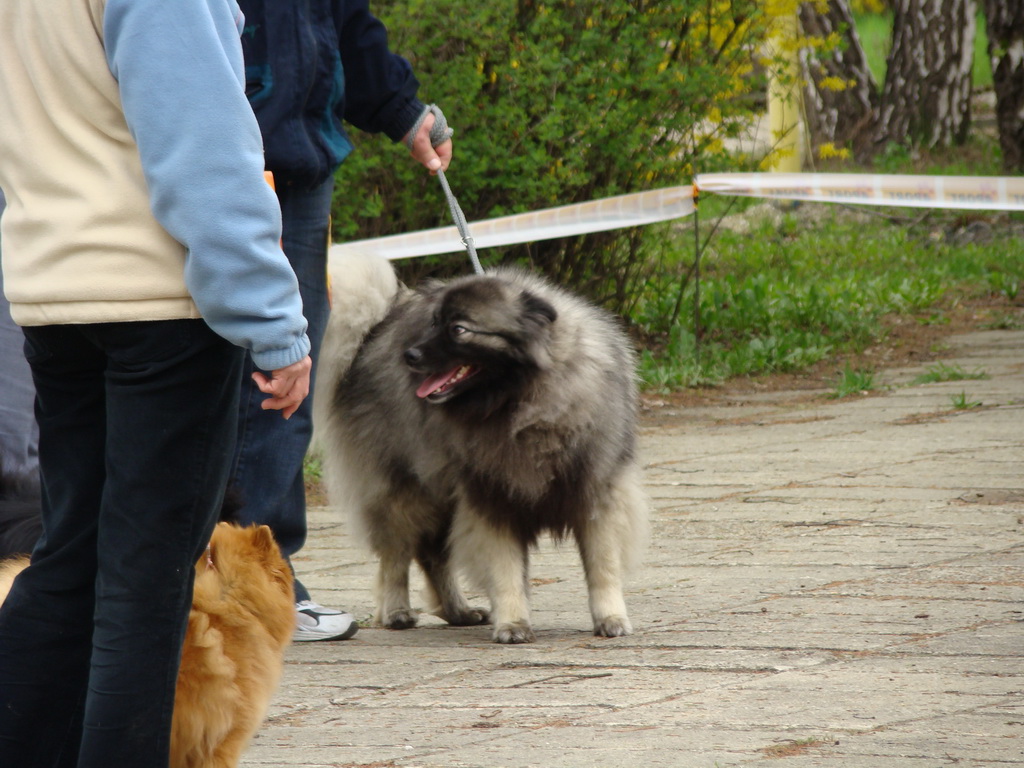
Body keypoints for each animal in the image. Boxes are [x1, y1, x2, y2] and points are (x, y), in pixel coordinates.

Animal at [315, 256, 643, 647]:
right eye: (433, 323)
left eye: (458, 329)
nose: (409, 354)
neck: (521, 402)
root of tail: (373, 332)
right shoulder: (491, 498)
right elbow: (505, 569)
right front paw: (513, 622)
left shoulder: (595, 493)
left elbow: (602, 566)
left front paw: (610, 617)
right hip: (407, 491)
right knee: (397, 556)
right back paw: (397, 611)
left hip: (439, 492)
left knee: (432, 556)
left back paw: (457, 611)